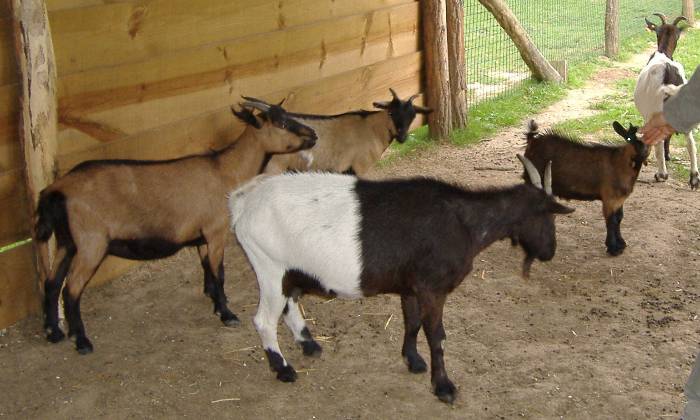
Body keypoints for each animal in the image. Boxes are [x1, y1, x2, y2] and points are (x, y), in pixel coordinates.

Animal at [34, 101, 316, 354]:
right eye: (282, 123)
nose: (313, 135)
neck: (227, 170)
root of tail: (56, 190)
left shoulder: (202, 236)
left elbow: (207, 268)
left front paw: (215, 302)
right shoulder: (215, 231)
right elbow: (219, 272)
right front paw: (227, 314)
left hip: (67, 242)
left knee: (51, 282)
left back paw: (53, 332)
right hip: (91, 243)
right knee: (71, 289)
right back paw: (81, 341)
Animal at [230, 155, 576, 404]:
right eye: (548, 215)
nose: (550, 251)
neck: (465, 222)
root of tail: (242, 202)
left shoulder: (412, 287)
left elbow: (411, 323)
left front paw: (413, 361)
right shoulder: (433, 288)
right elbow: (436, 335)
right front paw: (444, 387)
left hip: (287, 270)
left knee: (289, 304)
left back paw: (309, 344)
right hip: (269, 266)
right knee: (264, 319)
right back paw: (284, 369)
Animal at [246, 88, 432, 176]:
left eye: (413, 116)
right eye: (391, 113)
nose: (402, 136)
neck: (372, 129)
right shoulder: (359, 167)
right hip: (274, 167)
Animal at [524, 119, 648, 256]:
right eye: (629, 138)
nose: (644, 151)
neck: (621, 163)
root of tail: (532, 140)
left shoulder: (619, 199)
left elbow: (619, 218)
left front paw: (621, 244)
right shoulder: (609, 197)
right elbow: (611, 221)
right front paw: (613, 248)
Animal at [632, 12, 696, 189]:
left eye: (678, 34)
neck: (662, 53)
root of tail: (667, 70)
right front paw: (668, 156)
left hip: (656, 109)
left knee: (659, 140)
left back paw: (662, 174)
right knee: (690, 141)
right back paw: (694, 178)